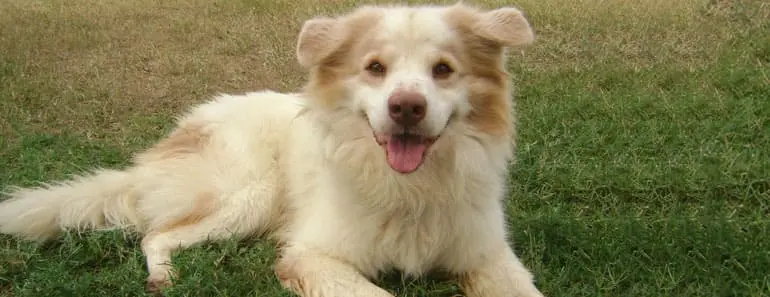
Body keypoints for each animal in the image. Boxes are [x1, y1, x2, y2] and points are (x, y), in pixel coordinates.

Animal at [0, 2, 540, 296]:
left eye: (443, 70)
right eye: (375, 68)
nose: (406, 107)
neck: (414, 190)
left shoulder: (487, 252)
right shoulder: (311, 256)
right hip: (250, 195)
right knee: (155, 235)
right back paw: (163, 278)